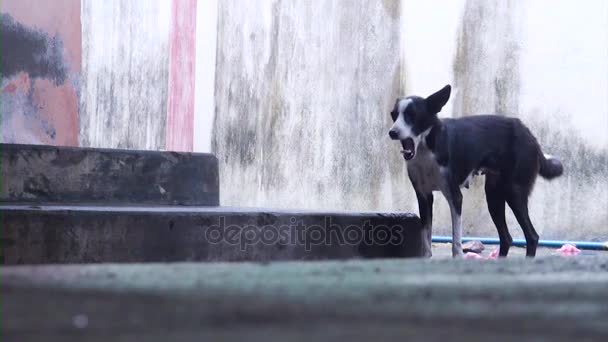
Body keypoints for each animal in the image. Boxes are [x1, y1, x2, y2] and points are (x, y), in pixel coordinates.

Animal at [392, 85, 564, 256]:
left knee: (532, 236)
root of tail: (530, 134)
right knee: (506, 238)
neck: (426, 150)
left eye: (412, 115)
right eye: (393, 115)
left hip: (514, 192)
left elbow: (456, 243)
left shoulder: (455, 197)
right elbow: (426, 242)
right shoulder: (424, 196)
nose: (392, 132)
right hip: (494, 195)